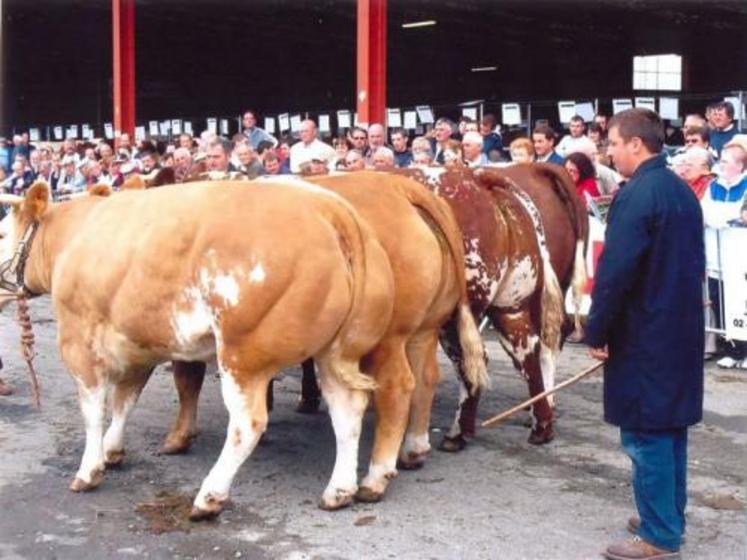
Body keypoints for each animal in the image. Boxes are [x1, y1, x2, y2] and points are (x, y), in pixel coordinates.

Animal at [0, 178, 394, 516]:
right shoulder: (137, 344)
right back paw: (339, 490)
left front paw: (88, 470)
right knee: (348, 410)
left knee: (248, 424)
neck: (71, 238)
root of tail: (330, 208)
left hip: (243, 354)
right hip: (337, 351)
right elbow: (124, 401)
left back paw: (209, 496)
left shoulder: (78, 341)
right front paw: (113, 450)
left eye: (2, 231)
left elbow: (93, 411)